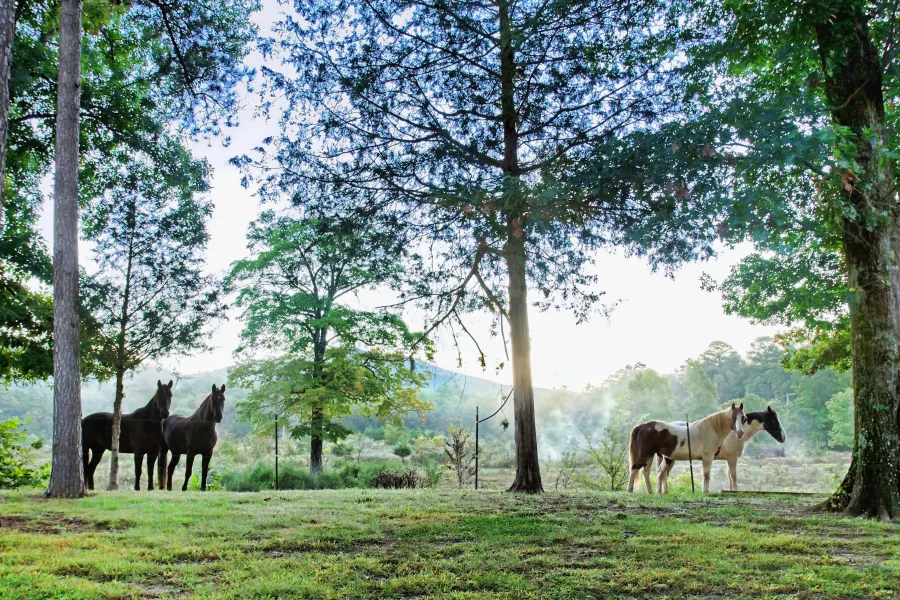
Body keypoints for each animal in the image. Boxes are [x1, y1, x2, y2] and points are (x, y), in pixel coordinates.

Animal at [656, 406, 787, 493]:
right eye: (773, 420)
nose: (783, 437)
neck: (734, 432)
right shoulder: (732, 458)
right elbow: (733, 476)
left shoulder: (728, 459)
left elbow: (729, 477)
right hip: (669, 459)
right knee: (661, 472)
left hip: (670, 459)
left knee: (663, 473)